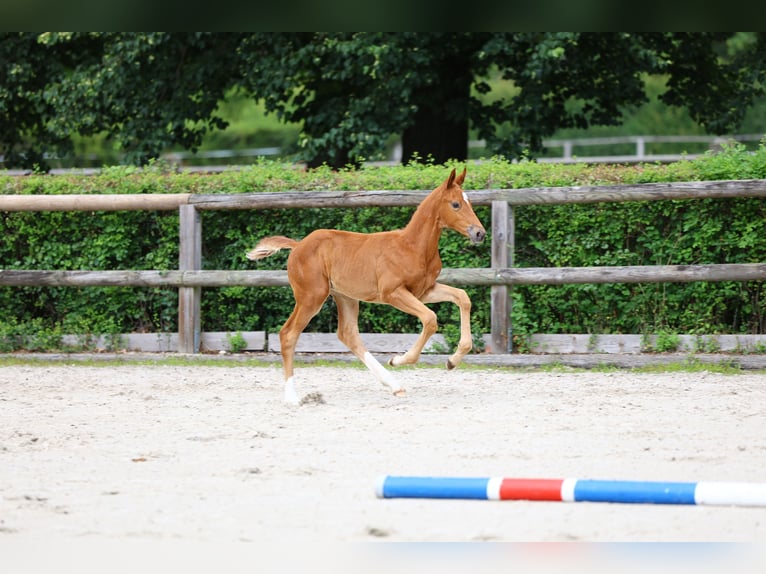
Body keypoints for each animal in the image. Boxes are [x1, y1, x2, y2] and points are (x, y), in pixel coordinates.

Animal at [248, 169, 486, 404]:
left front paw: (452, 361)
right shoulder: (393, 293)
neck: (412, 247)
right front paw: (398, 360)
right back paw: (292, 397)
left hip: (345, 297)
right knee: (288, 334)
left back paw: (395, 386)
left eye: (469, 202)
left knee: (348, 334)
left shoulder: (424, 291)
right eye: (455, 204)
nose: (479, 233)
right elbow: (430, 319)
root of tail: (298, 245)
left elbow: (463, 297)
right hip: (311, 296)